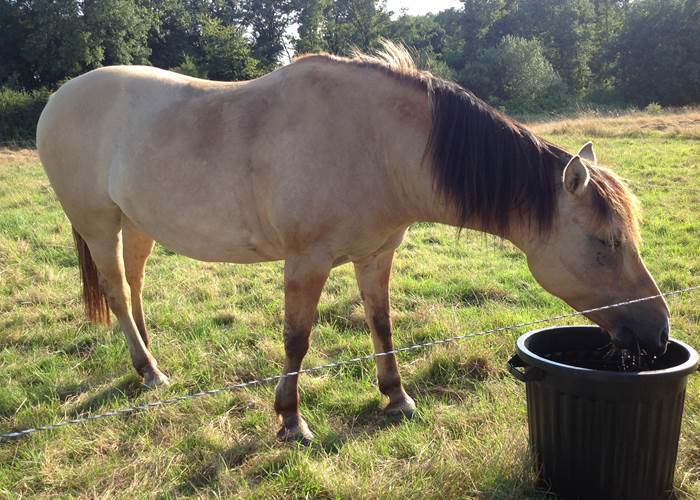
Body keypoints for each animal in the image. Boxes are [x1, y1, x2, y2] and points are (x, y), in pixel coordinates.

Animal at [36, 42, 669, 443]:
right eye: (607, 243)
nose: (658, 334)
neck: (377, 145)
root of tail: (59, 98)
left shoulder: (376, 255)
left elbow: (381, 324)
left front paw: (397, 398)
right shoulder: (306, 263)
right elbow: (297, 340)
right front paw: (291, 421)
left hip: (137, 222)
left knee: (135, 284)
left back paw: (148, 357)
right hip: (98, 222)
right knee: (118, 290)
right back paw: (149, 371)